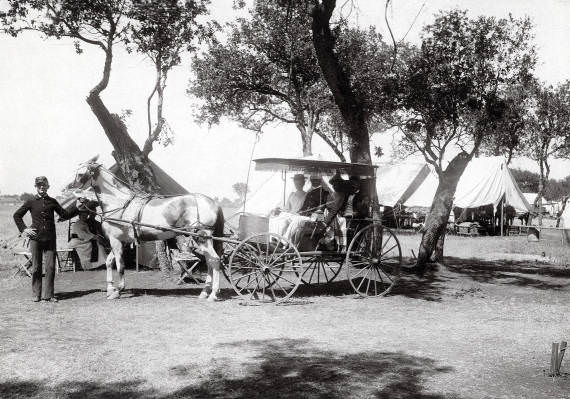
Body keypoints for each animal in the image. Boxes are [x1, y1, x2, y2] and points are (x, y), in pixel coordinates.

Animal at [66, 161, 224, 302]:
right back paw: (204, 292)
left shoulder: (116, 241)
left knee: (215, 260)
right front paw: (110, 289)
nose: (68, 188)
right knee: (210, 261)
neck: (120, 204)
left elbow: (120, 266)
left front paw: (118, 291)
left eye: (80, 174)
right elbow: (109, 262)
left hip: (202, 238)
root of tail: (213, 202)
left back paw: (212, 294)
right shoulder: (123, 241)